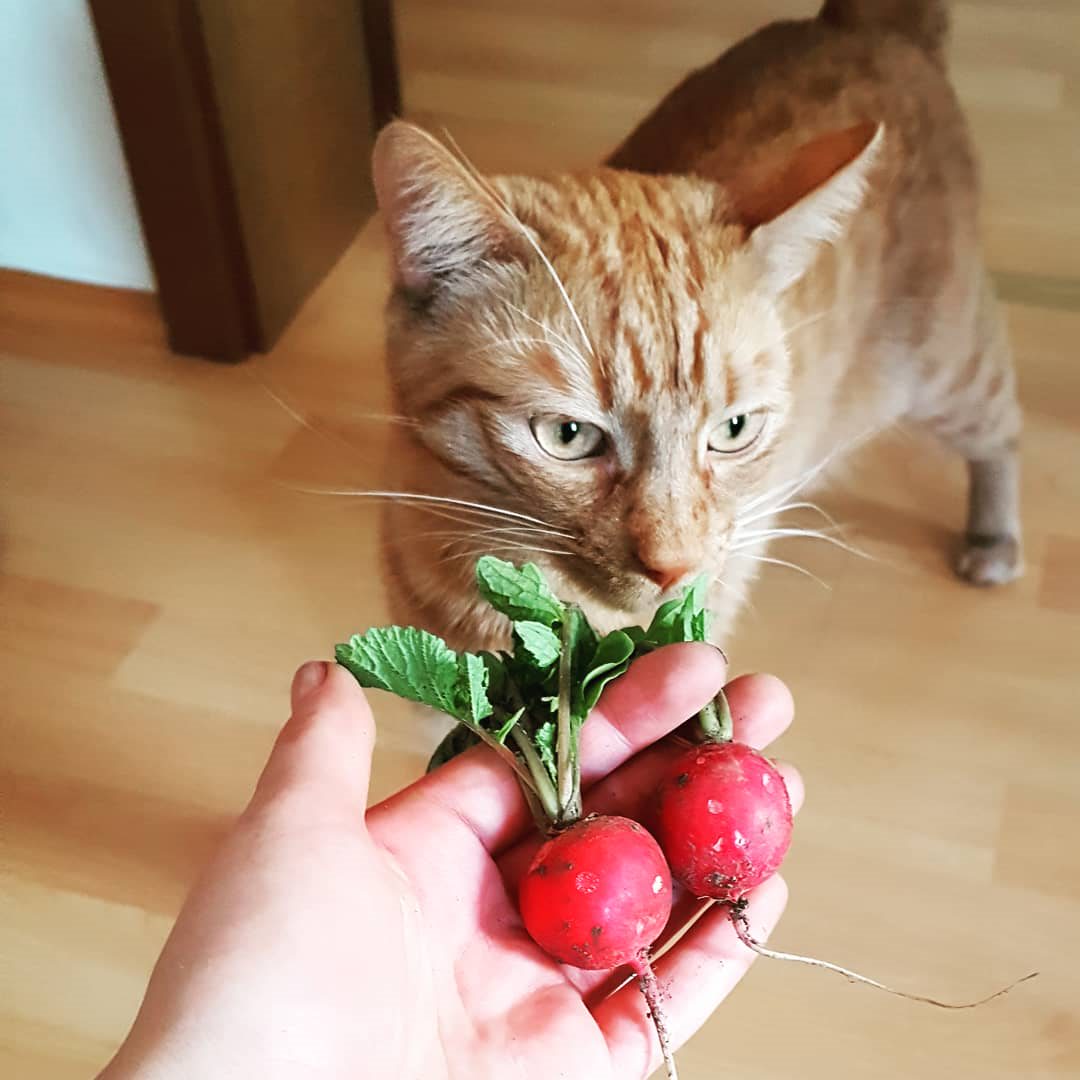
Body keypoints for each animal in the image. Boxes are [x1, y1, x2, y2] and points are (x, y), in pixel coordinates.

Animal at [365, 0, 1019, 652]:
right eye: (568, 436)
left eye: (733, 429)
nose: (674, 567)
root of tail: (862, 24)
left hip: (948, 366)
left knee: (1002, 429)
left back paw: (994, 539)